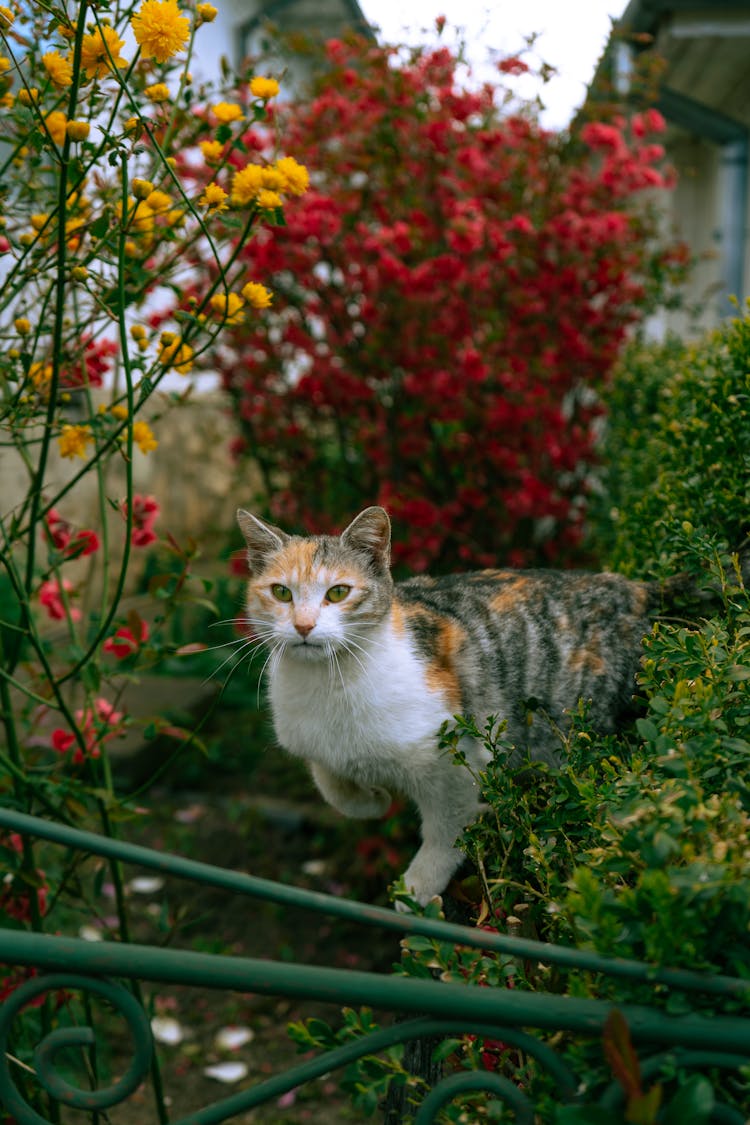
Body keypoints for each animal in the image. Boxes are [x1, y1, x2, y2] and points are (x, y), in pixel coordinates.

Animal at [239, 506, 674, 909]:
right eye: (281, 593)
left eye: (338, 592)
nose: (303, 626)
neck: (327, 682)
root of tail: (636, 589)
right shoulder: (312, 742)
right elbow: (329, 781)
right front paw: (370, 800)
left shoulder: (454, 763)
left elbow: (447, 829)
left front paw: (417, 886)